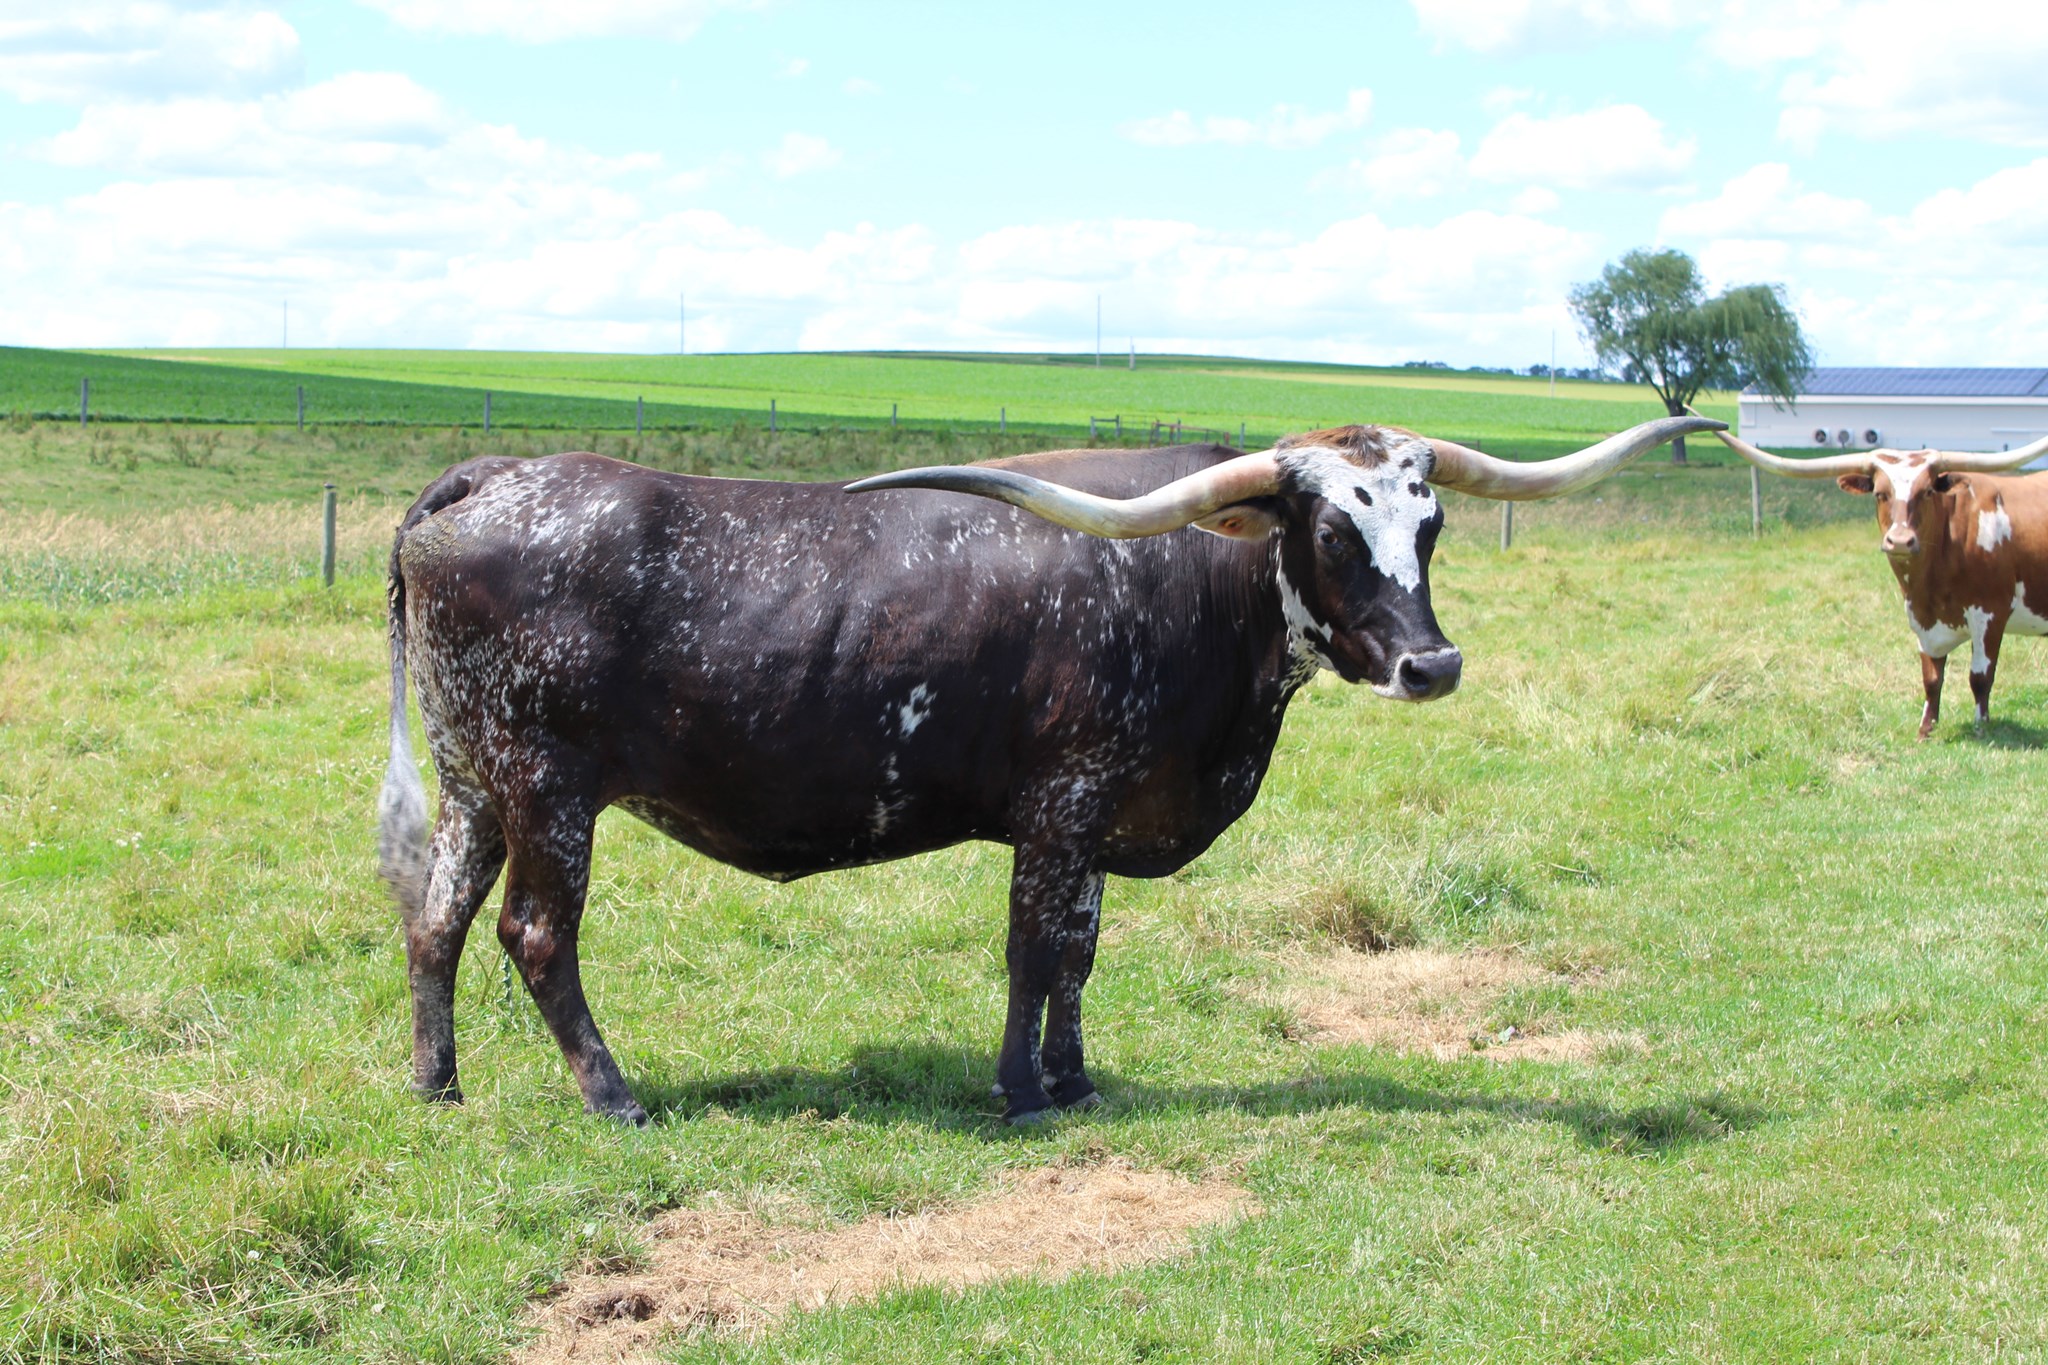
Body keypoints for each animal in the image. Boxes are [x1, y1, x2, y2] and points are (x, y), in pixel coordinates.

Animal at [378, 414, 1721, 1125]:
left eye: (1428, 526)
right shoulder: (1062, 803)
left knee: (434, 916)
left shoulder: (1098, 820)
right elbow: (1033, 949)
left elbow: (1078, 949)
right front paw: (1020, 1089)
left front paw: (1071, 1080)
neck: (1193, 584)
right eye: (1332, 531)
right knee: (534, 934)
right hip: (547, 788)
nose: (1430, 665)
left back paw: (437, 1083)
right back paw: (611, 1093)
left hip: (473, 779)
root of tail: (494, 475)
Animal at [1713, 428, 2048, 737]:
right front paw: (1926, 729)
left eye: (1927, 492)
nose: (1899, 540)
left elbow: (1979, 677)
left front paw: (1981, 727)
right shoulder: (1921, 617)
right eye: (1879, 493)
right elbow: (1932, 678)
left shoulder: (1990, 614)